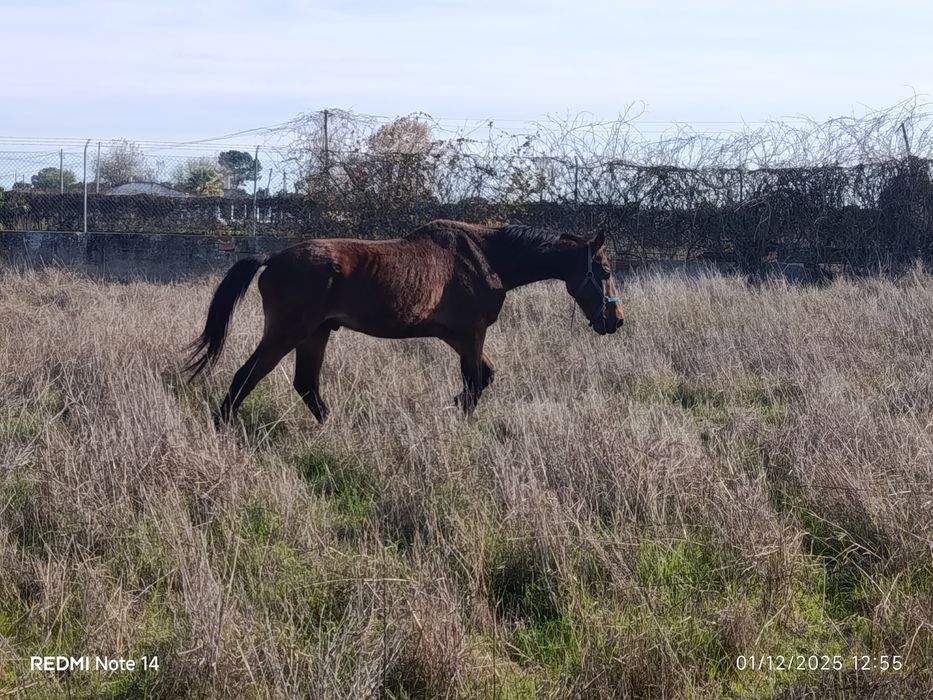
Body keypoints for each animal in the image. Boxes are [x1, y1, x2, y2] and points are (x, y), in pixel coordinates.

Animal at [185, 219, 624, 423]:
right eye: (602, 270)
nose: (616, 320)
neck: (486, 258)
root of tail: (273, 258)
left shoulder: (461, 339)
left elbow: (483, 379)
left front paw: (453, 407)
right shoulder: (471, 335)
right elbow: (474, 384)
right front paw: (459, 417)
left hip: (316, 334)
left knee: (306, 385)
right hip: (287, 332)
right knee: (245, 377)